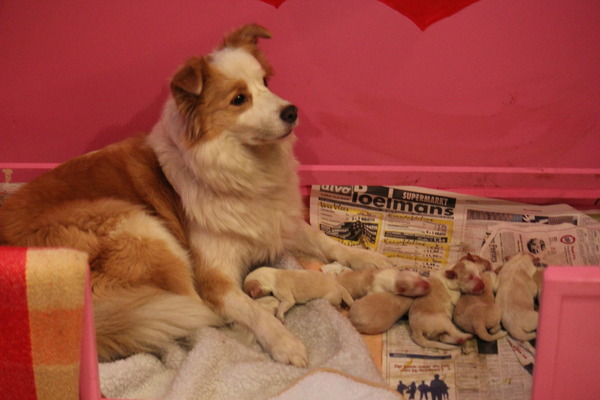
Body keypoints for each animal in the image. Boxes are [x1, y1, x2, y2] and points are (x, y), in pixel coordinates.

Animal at [0, 25, 392, 368]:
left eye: (265, 82)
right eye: (239, 99)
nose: (293, 111)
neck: (240, 165)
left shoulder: (276, 222)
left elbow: (325, 241)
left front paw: (370, 260)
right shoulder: (213, 276)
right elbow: (240, 309)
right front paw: (284, 342)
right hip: (145, 231)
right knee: (198, 320)